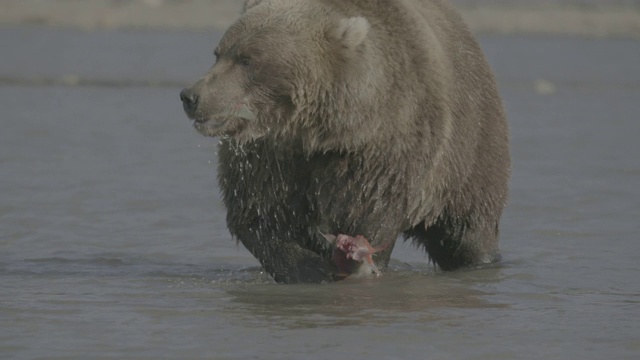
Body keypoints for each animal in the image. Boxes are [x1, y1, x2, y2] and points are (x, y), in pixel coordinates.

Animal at [179, 0, 510, 282]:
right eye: (218, 52)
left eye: (247, 59)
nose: (191, 96)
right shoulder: (269, 157)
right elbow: (258, 214)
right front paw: (309, 267)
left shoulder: (385, 147)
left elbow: (373, 212)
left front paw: (356, 260)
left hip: (470, 151)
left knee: (466, 231)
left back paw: (481, 262)